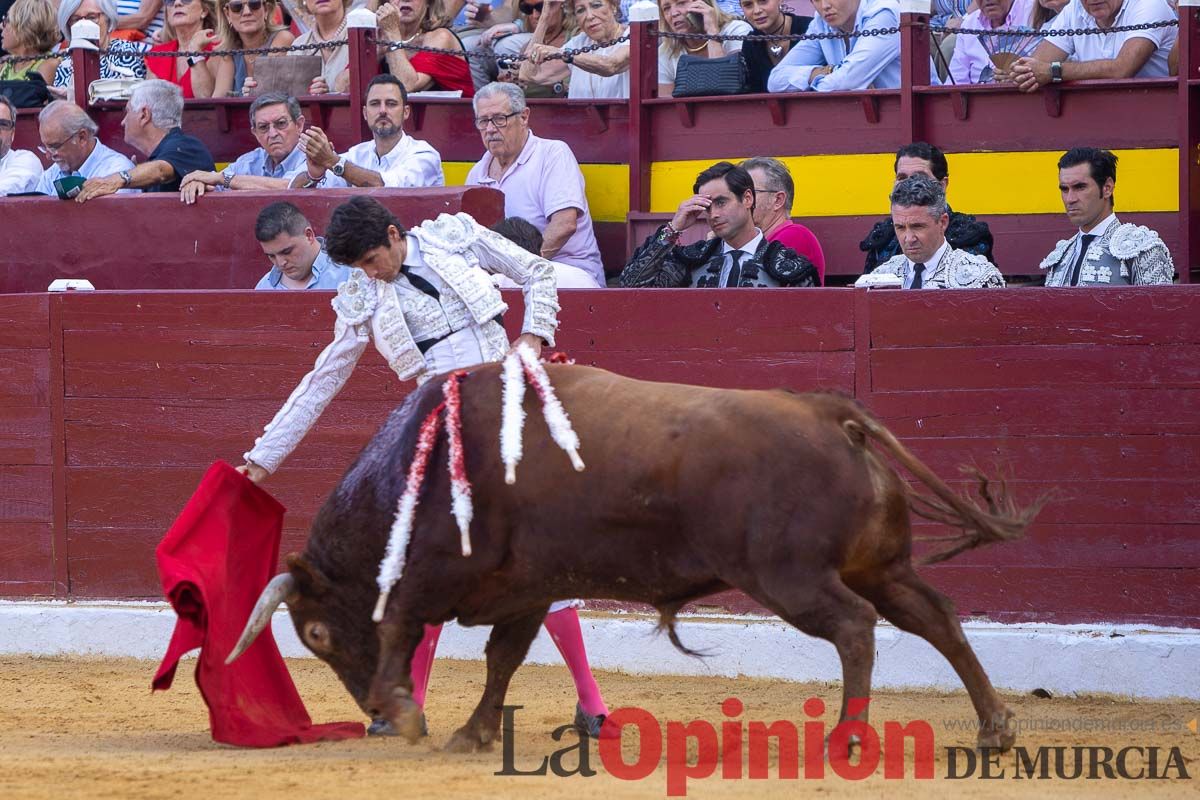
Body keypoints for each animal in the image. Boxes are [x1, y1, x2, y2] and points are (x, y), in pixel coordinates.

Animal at [229, 367, 1036, 753]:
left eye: (316, 634)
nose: (367, 711)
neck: (415, 469)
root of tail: (832, 412)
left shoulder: (431, 574)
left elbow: (401, 624)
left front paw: (405, 711)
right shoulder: (527, 586)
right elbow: (504, 658)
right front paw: (473, 731)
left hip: (791, 577)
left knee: (856, 627)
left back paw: (848, 735)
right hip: (881, 565)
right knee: (935, 616)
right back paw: (993, 728)